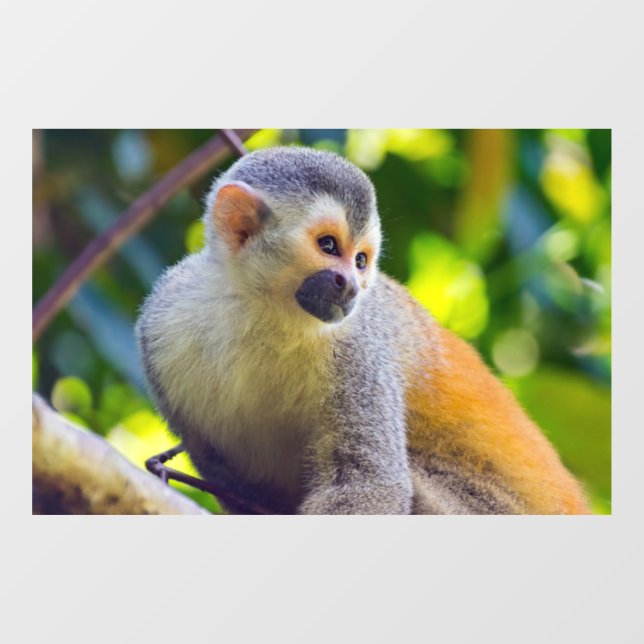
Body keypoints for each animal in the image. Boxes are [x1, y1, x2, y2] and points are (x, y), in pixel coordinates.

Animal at [135, 145, 590, 515]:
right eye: (329, 246)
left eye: (360, 260)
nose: (352, 285)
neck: (260, 310)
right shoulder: (161, 323)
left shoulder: (358, 348)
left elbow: (368, 481)